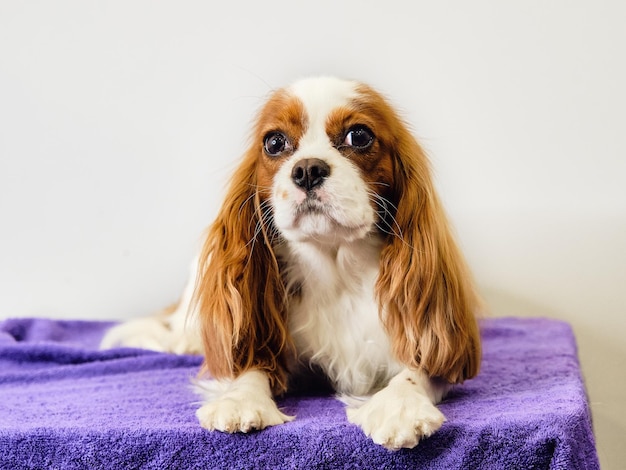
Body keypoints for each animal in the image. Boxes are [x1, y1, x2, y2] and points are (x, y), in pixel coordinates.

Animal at [102, 75, 480, 450]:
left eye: (359, 136)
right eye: (274, 142)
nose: (308, 169)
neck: (336, 268)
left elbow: (421, 367)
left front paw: (399, 406)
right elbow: (251, 366)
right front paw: (240, 400)